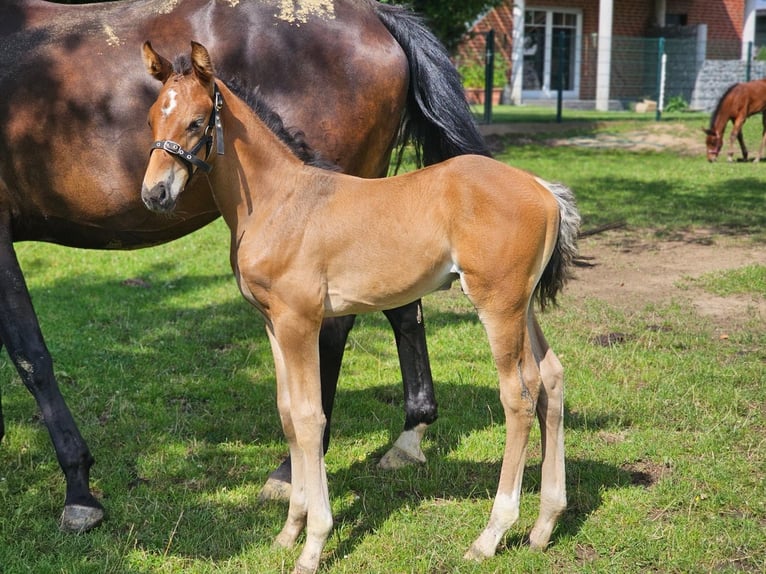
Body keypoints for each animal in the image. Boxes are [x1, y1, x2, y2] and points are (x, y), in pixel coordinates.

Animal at [0, 0, 492, 532]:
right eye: (150, 118)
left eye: (198, 122)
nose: (154, 192)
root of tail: (374, 17)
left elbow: (31, 357)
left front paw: (79, 492)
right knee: (402, 308)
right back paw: (407, 439)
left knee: (336, 330)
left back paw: (292, 470)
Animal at [141, 41, 580, 574]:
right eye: (152, 118)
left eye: (197, 121)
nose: (154, 193)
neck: (278, 200)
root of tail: (544, 190)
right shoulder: (272, 324)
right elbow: (287, 414)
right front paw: (288, 531)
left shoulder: (300, 321)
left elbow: (311, 418)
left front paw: (313, 543)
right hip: (524, 307)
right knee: (552, 379)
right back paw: (543, 526)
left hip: (499, 305)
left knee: (519, 395)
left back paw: (490, 536)